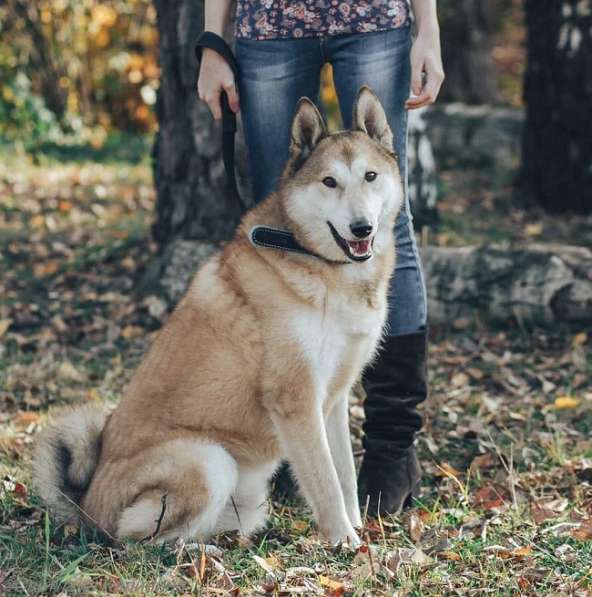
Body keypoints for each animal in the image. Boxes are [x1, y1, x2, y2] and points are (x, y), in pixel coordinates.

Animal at [32, 86, 402, 548]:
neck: (312, 257)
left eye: (370, 176)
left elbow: (346, 476)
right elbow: (326, 481)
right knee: (139, 539)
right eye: (329, 182)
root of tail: (86, 509)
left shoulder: (334, 400)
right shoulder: (297, 400)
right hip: (208, 460)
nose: (361, 228)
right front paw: (344, 541)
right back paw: (199, 553)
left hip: (246, 498)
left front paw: (357, 530)